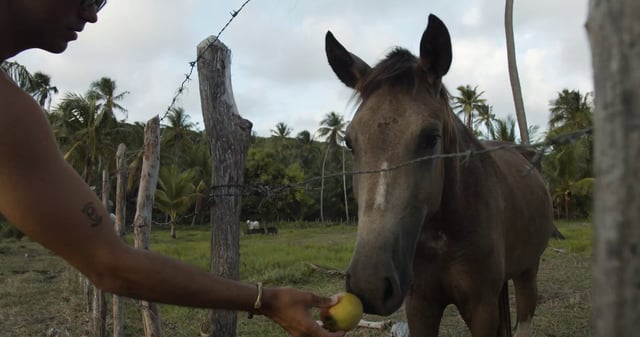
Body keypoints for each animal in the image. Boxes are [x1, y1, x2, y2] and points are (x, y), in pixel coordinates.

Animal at [324, 13, 556, 336]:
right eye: (349, 141)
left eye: (431, 137)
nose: (370, 284)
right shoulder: (421, 304)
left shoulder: (481, 307)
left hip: (527, 272)